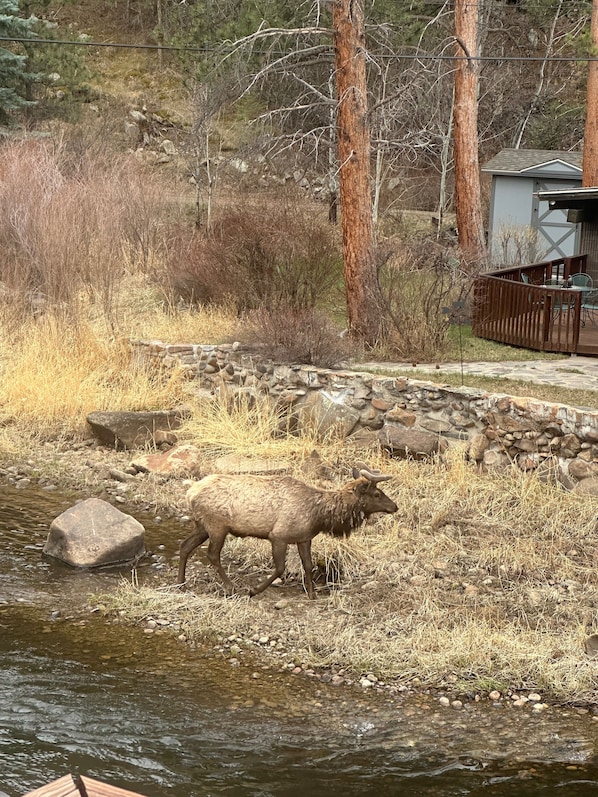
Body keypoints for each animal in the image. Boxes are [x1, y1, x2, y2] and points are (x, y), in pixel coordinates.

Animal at [178, 466, 398, 596]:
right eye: (377, 494)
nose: (395, 507)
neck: (319, 518)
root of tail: (189, 494)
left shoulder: (304, 538)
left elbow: (308, 565)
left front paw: (312, 594)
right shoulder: (278, 536)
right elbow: (280, 568)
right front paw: (254, 590)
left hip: (202, 526)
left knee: (185, 545)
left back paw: (181, 582)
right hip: (217, 525)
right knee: (212, 554)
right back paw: (231, 586)